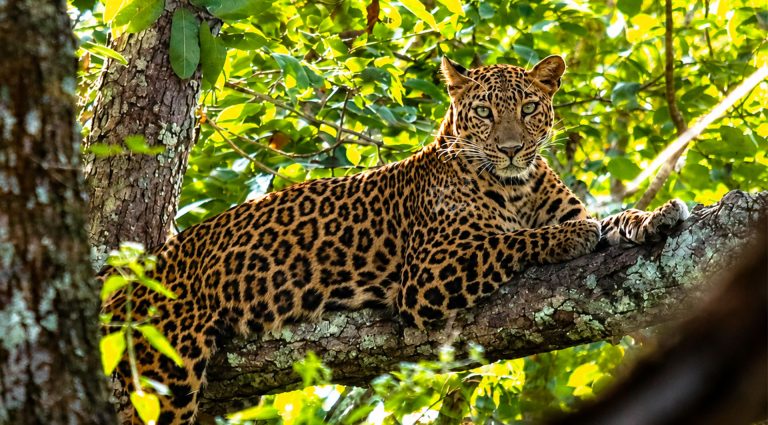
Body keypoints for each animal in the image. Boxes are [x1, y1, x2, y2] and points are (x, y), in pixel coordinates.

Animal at [102, 54, 689, 424]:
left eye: (528, 109)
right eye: (484, 112)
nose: (511, 149)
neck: (515, 186)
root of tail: (133, 275)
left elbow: (615, 220)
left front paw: (658, 215)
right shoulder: (428, 277)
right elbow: (514, 240)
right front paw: (567, 235)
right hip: (164, 372)